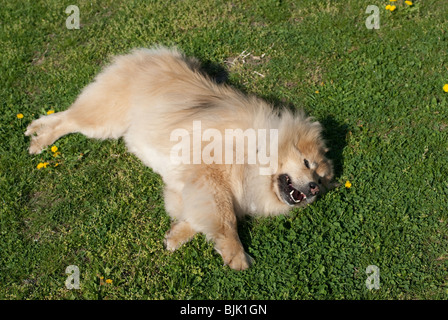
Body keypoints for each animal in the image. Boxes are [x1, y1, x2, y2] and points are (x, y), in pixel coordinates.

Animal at [24, 46, 332, 268]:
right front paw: (237, 256)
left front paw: (175, 237)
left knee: (64, 115)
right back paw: (40, 141)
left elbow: (198, 217)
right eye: (307, 164)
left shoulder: (193, 189)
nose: (314, 188)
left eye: (321, 179)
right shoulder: (210, 179)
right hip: (105, 121)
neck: (255, 153)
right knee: (68, 119)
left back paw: (34, 129)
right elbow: (225, 219)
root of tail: (148, 53)